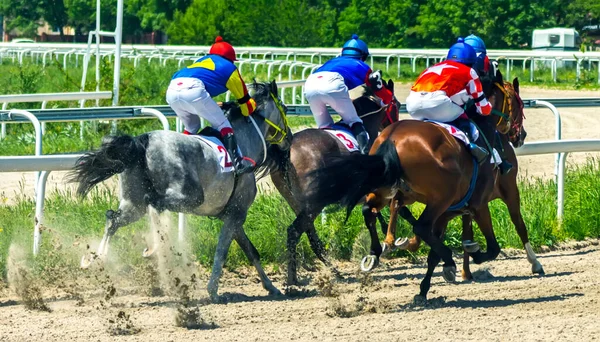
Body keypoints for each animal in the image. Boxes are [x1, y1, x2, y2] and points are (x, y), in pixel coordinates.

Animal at [69, 81, 292, 302]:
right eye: (285, 108)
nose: (289, 137)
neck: (243, 144)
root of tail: (143, 140)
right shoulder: (236, 214)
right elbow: (221, 251)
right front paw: (213, 291)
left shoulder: (232, 215)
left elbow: (251, 251)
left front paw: (271, 287)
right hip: (189, 196)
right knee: (154, 203)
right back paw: (155, 247)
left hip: (133, 203)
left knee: (113, 218)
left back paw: (95, 259)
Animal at [270, 81, 398, 286]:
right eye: (397, 104)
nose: (396, 121)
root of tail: (287, 152)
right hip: (314, 203)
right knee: (294, 232)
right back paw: (293, 280)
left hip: (298, 202)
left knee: (310, 235)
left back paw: (330, 271)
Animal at [304, 71, 520, 300]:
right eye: (518, 103)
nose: (520, 135)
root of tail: (391, 139)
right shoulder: (476, 204)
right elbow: (492, 248)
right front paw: (469, 252)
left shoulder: (444, 209)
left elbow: (432, 248)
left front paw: (425, 287)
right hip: (440, 197)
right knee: (421, 226)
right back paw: (445, 256)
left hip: (386, 188)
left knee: (369, 210)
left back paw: (374, 255)